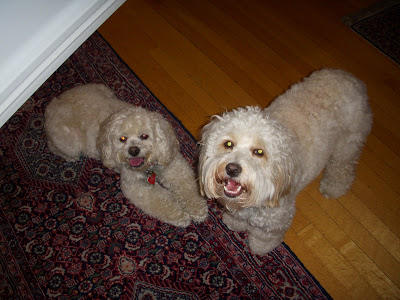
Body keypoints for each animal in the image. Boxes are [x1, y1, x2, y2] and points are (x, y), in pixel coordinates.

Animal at [45, 83, 208, 226]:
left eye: (144, 136)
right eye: (122, 139)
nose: (133, 150)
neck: (149, 168)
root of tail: (53, 104)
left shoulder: (174, 166)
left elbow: (188, 188)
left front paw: (198, 209)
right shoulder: (135, 187)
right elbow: (162, 201)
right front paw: (180, 215)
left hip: (103, 89)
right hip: (71, 143)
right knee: (53, 146)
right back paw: (69, 157)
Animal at [198, 69, 374, 254]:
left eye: (259, 152)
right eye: (228, 144)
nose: (232, 169)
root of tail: (351, 78)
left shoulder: (276, 221)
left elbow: (264, 237)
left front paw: (259, 248)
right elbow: (237, 218)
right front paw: (233, 223)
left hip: (348, 143)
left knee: (342, 167)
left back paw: (333, 187)